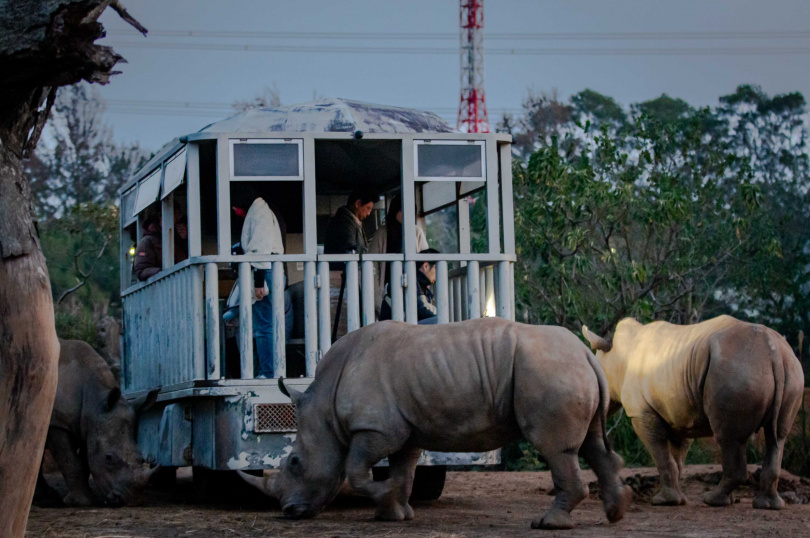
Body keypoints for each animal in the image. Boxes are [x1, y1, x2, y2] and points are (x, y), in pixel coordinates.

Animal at [36, 338, 156, 504]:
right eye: (109, 458)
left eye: (141, 457)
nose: (132, 500)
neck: (94, 401)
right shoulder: (57, 424)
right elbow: (70, 461)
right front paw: (81, 502)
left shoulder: (89, 425)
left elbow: (85, 461)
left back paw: (45, 495)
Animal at [240, 318, 632, 528]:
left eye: (294, 462)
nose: (289, 512)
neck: (324, 407)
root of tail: (586, 353)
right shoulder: (404, 430)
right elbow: (403, 470)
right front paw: (394, 515)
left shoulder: (375, 429)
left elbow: (355, 471)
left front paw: (385, 501)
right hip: (569, 371)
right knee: (593, 444)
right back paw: (617, 512)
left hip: (552, 372)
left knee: (555, 449)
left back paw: (547, 524)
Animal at [580, 314, 800, 506]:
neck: (616, 356)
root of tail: (772, 351)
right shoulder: (679, 415)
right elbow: (676, 460)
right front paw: (678, 500)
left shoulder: (642, 412)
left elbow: (661, 456)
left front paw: (663, 501)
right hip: (787, 369)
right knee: (777, 438)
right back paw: (768, 505)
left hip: (737, 370)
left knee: (729, 437)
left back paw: (713, 500)